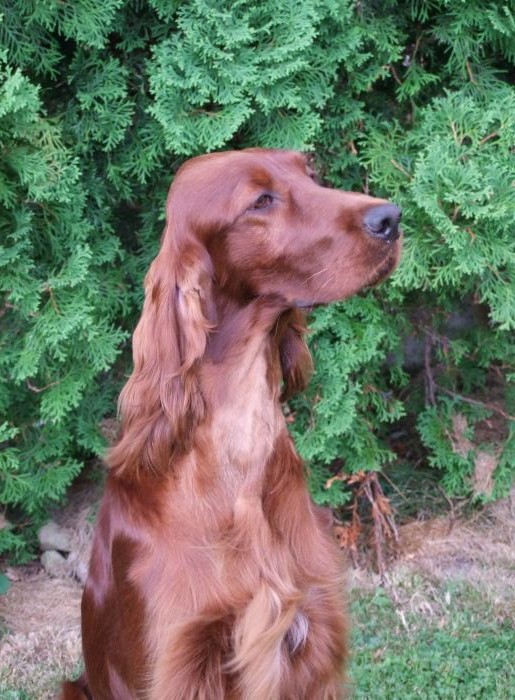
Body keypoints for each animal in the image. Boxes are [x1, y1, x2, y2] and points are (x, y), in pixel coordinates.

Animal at [63, 146, 404, 696]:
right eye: (260, 201)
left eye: (311, 174)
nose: (391, 218)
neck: (239, 456)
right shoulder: (182, 658)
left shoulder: (315, 632)